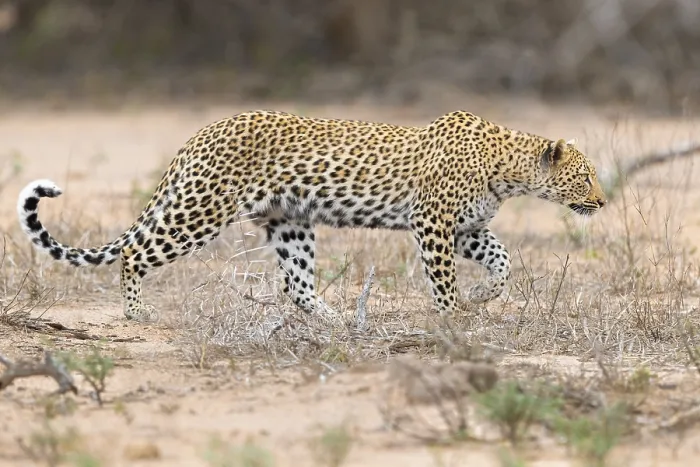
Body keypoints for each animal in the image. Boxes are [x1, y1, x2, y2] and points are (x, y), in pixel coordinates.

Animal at [17, 109, 607, 322]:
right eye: (585, 177)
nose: (602, 202)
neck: (509, 169)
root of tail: (200, 133)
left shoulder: (467, 229)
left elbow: (504, 261)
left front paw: (483, 295)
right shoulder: (434, 225)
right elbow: (443, 281)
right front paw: (453, 318)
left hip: (291, 223)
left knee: (298, 285)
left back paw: (337, 320)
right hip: (202, 208)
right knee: (137, 251)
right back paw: (138, 312)